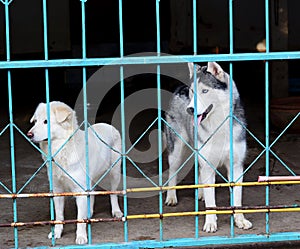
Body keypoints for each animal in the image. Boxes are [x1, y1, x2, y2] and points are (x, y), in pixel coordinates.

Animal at [27, 101, 123, 245]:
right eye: (35, 121)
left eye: (46, 122)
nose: (29, 135)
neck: (62, 148)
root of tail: (108, 125)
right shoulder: (58, 190)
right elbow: (59, 216)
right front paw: (57, 233)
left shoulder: (79, 190)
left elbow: (79, 220)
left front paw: (81, 237)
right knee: (92, 193)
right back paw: (89, 212)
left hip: (114, 173)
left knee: (113, 194)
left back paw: (116, 211)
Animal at [165, 61, 252, 232]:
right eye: (193, 92)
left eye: (205, 91)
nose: (190, 109)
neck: (219, 126)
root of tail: (181, 87)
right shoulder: (208, 164)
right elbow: (212, 202)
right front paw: (210, 223)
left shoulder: (236, 166)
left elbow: (237, 197)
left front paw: (240, 220)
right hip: (176, 152)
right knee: (173, 172)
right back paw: (171, 197)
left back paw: (201, 193)